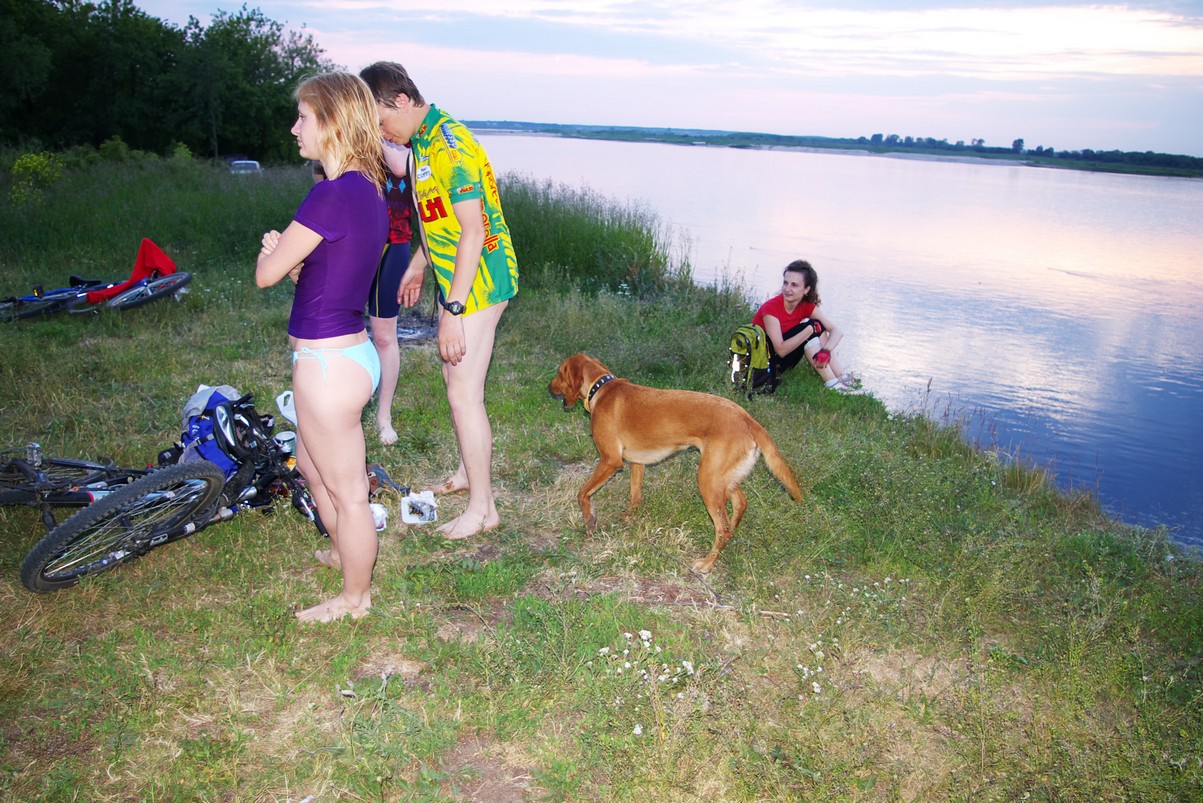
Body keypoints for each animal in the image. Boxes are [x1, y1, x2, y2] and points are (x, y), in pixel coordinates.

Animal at [549, 353, 803, 573]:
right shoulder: (637, 463)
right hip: (723, 478)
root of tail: (748, 419)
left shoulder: (610, 461)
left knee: (722, 528)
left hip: (708, 480)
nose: (548, 388)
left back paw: (707, 563)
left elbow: (582, 494)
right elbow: (635, 495)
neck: (601, 388)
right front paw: (629, 518)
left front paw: (589, 523)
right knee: (739, 506)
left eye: (560, 372)